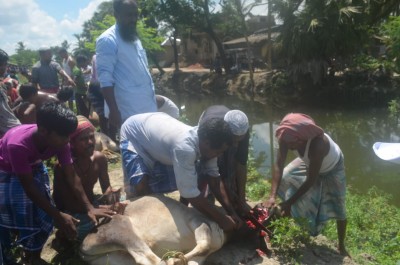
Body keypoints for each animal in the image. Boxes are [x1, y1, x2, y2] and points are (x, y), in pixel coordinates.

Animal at [79, 194, 227, 264]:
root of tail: (82, 246)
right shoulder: (197, 221)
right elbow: (204, 244)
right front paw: (176, 258)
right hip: (123, 233)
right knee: (154, 260)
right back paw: (172, 259)